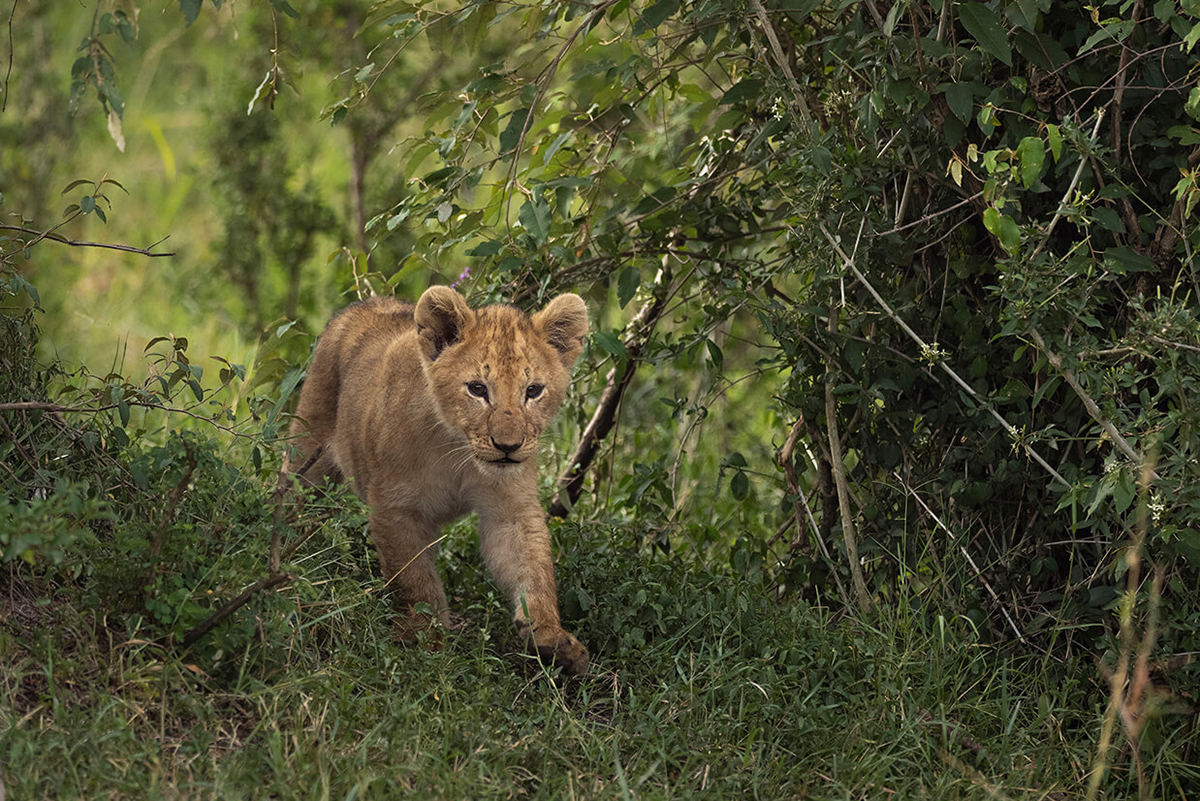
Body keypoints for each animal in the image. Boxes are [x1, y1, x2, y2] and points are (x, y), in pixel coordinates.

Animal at [281, 285, 590, 675]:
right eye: (477, 388)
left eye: (533, 390)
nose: (508, 447)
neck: (457, 449)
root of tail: (363, 304)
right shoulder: (394, 507)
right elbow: (415, 579)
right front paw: (425, 640)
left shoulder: (510, 509)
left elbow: (533, 568)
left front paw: (551, 637)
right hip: (308, 454)